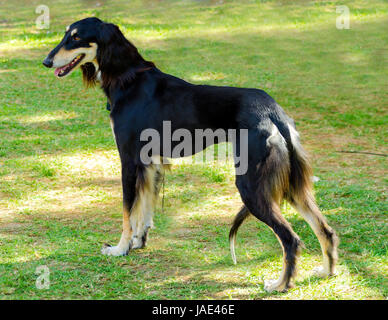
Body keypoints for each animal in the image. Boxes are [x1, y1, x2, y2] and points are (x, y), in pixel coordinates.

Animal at [44, 16, 338, 292]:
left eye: (76, 37)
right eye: (66, 34)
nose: (47, 62)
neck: (129, 78)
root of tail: (273, 111)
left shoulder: (129, 161)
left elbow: (128, 210)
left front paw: (120, 248)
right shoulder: (150, 164)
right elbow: (144, 209)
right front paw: (139, 242)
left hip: (251, 185)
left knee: (290, 239)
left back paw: (281, 284)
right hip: (289, 183)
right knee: (325, 230)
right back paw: (326, 271)